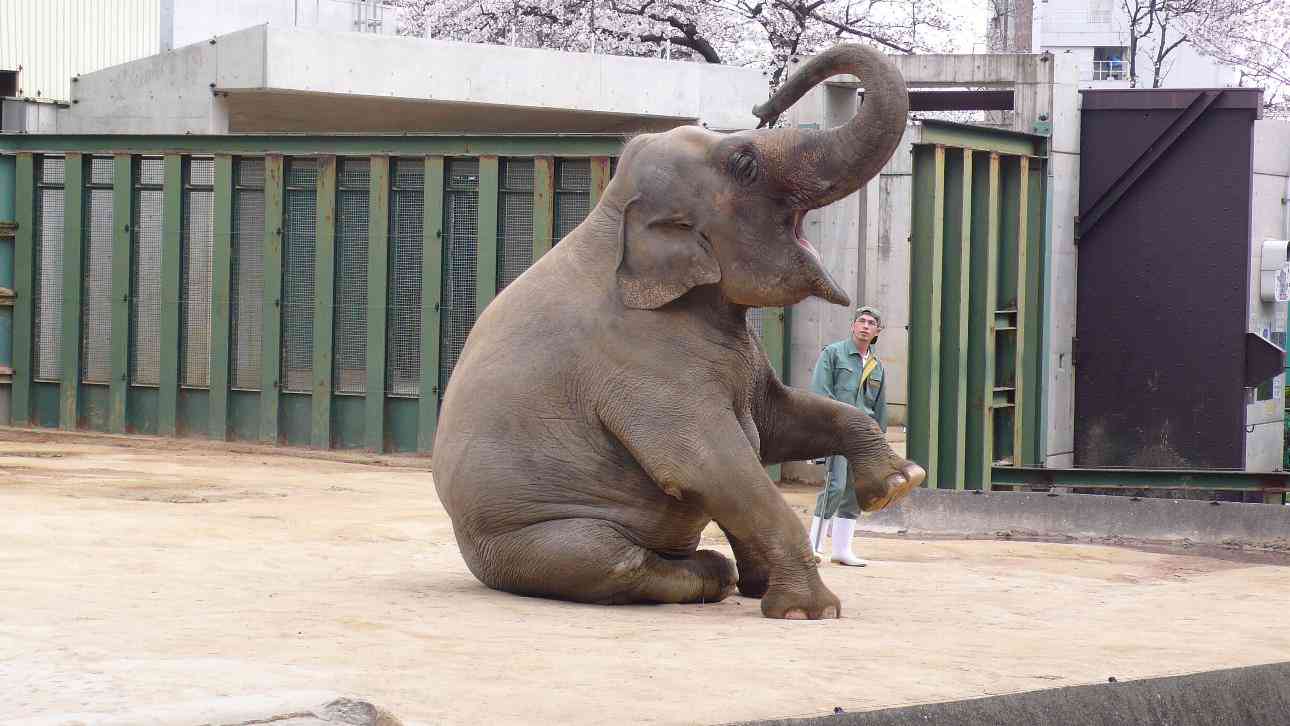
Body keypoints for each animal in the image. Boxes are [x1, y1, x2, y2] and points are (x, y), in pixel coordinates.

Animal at [432, 43, 925, 620]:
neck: (610, 214)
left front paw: (898, 484)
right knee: (611, 558)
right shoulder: (642, 365)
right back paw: (715, 575)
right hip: (525, 542)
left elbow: (778, 421)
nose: (764, 104)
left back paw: (745, 580)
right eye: (744, 164)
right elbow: (709, 463)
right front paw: (811, 611)